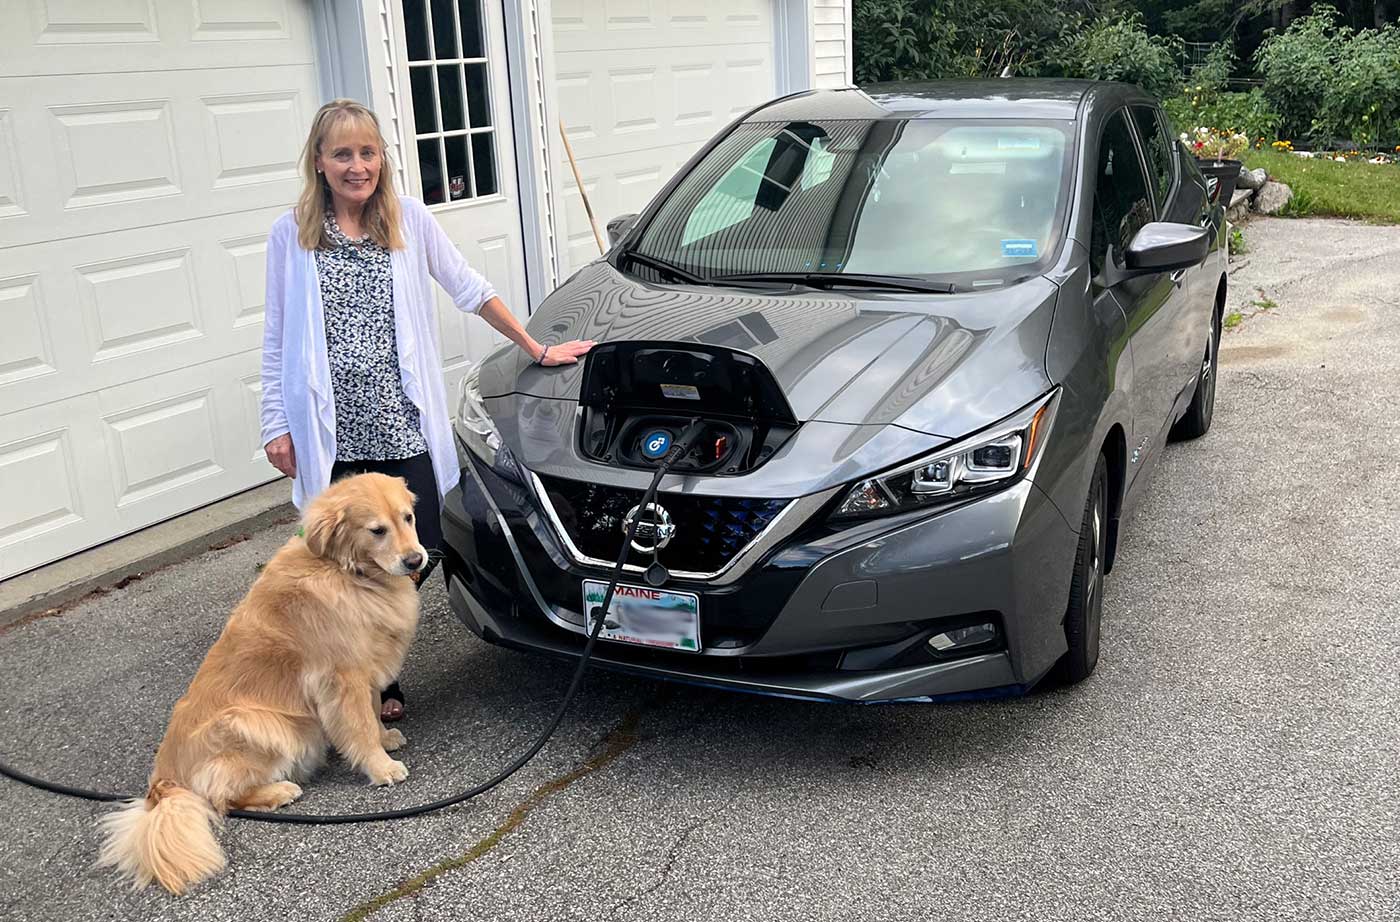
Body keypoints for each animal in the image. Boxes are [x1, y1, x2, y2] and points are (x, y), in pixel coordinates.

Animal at [97, 472, 425, 889]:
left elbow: (372, 712)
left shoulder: (364, 671)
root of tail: (163, 785)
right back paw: (280, 791)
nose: (416, 559)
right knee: (222, 798)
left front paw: (385, 739)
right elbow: (360, 726)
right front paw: (381, 767)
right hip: (257, 723)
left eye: (408, 518)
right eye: (377, 530)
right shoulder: (343, 678)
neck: (346, 570)